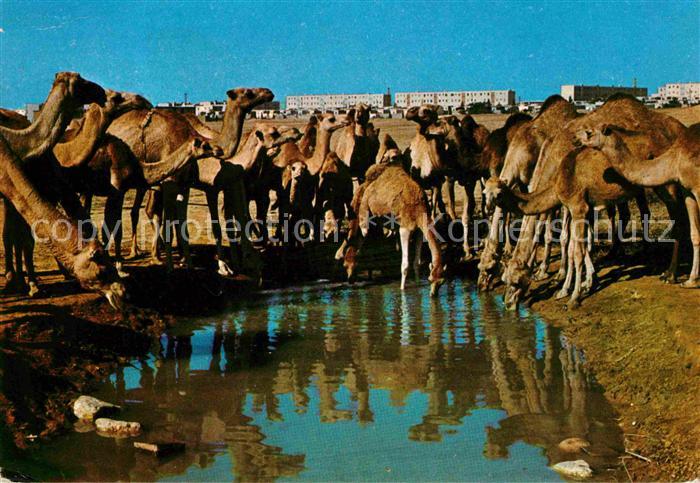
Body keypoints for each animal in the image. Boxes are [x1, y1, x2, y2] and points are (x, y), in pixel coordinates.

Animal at [335, 157, 445, 297]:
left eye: (442, 282)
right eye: (430, 279)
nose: (433, 294)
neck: (420, 208)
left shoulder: (419, 230)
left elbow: (416, 263)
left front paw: (418, 286)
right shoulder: (405, 227)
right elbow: (405, 265)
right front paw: (402, 290)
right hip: (360, 206)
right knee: (359, 231)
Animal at [499, 94, 687, 309]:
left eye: (514, 281)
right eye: (504, 279)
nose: (508, 304)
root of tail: (680, 128)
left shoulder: (575, 202)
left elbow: (570, 242)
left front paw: (569, 285)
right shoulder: (582, 203)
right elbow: (578, 242)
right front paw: (586, 280)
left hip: (667, 183)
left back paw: (670, 272)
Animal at [578, 123, 700, 288]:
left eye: (589, 132)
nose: (577, 138)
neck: (675, 160)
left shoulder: (698, 188)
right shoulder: (688, 190)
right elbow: (695, 234)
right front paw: (691, 281)